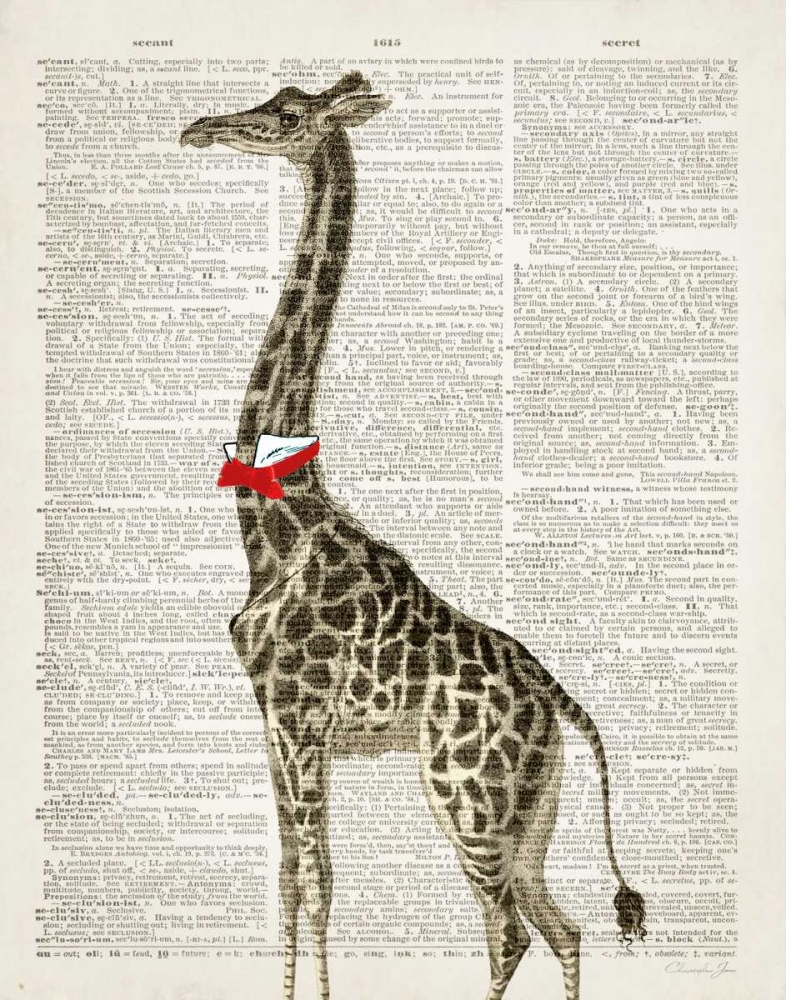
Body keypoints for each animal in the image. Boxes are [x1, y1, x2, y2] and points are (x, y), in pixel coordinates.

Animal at [180, 72, 646, 1000]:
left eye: (288, 115)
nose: (200, 128)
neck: (274, 520)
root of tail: (560, 705)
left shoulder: (301, 714)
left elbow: (320, 883)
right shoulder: (274, 718)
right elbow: (289, 880)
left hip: (467, 793)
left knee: (509, 931)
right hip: (526, 809)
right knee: (566, 927)